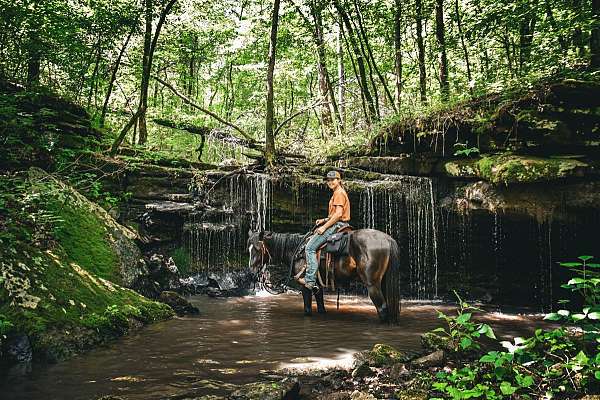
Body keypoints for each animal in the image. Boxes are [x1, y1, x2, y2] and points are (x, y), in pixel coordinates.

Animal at [246, 228, 400, 322]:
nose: (251, 272)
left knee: (382, 308)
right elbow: (320, 306)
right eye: (248, 249)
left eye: (257, 249)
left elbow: (307, 308)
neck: (298, 251)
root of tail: (387, 239)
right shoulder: (318, 285)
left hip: (372, 284)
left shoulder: (305, 284)